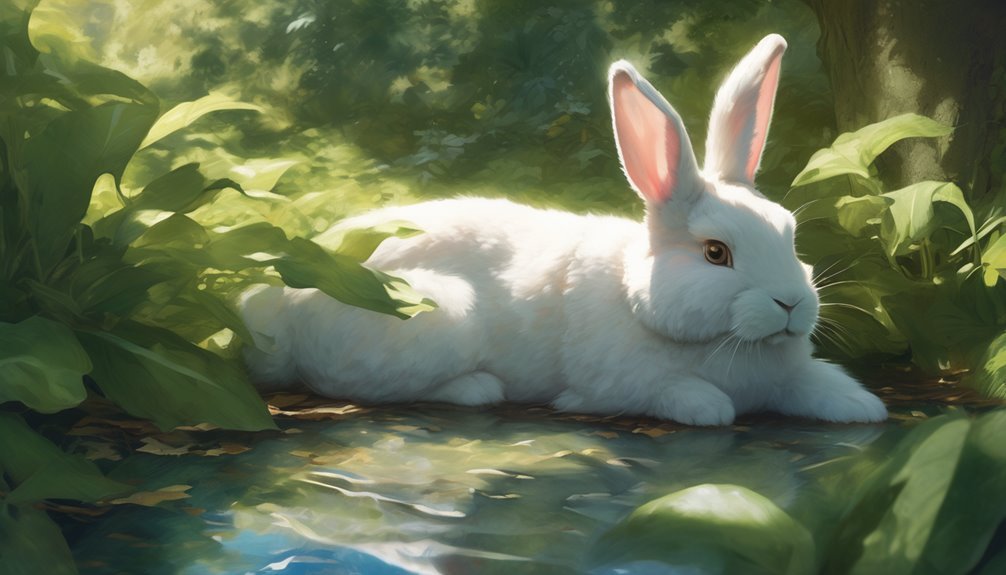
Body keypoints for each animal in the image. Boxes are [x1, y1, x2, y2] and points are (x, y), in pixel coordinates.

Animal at [240, 34, 887, 426]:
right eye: (715, 253)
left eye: (790, 234)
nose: (792, 304)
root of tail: (278, 301)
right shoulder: (622, 385)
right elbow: (678, 395)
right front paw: (710, 407)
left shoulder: (789, 375)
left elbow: (817, 384)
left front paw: (863, 407)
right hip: (431, 319)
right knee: (356, 387)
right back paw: (478, 389)